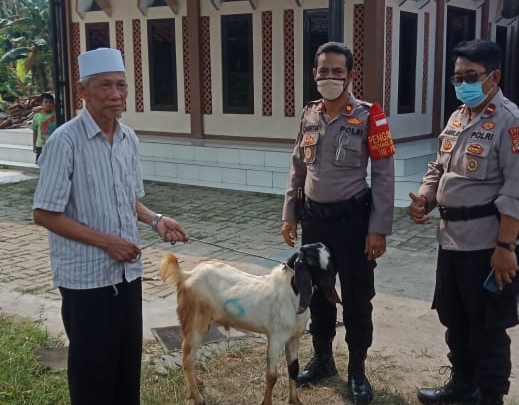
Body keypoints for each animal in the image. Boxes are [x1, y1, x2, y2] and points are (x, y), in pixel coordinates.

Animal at [160, 241, 344, 404]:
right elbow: (272, 376)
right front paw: (266, 403)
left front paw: (295, 400)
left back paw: (197, 383)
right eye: (312, 261)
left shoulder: (294, 338)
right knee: (187, 358)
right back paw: (197, 397)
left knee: (189, 357)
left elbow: (293, 369)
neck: (291, 292)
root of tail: (187, 275)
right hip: (195, 322)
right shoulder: (276, 337)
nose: (330, 287)